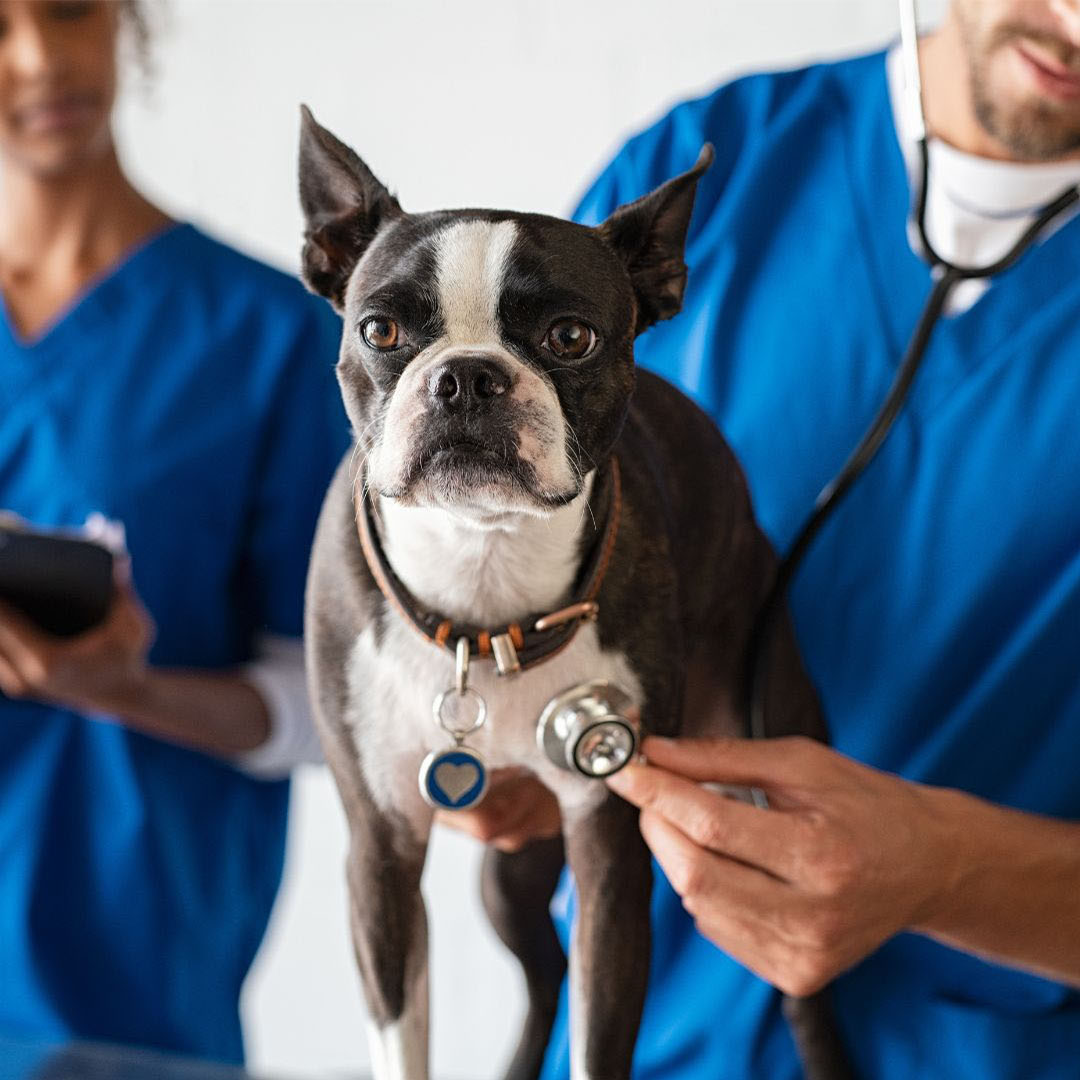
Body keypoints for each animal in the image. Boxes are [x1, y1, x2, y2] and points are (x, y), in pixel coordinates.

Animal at [300, 107, 838, 1080]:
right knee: (543, 970)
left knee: (797, 986)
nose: (467, 375)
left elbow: (600, 1031)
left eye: (570, 339)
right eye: (380, 331)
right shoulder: (382, 850)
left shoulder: (609, 846)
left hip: (762, 759)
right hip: (508, 871)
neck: (484, 584)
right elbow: (404, 1034)